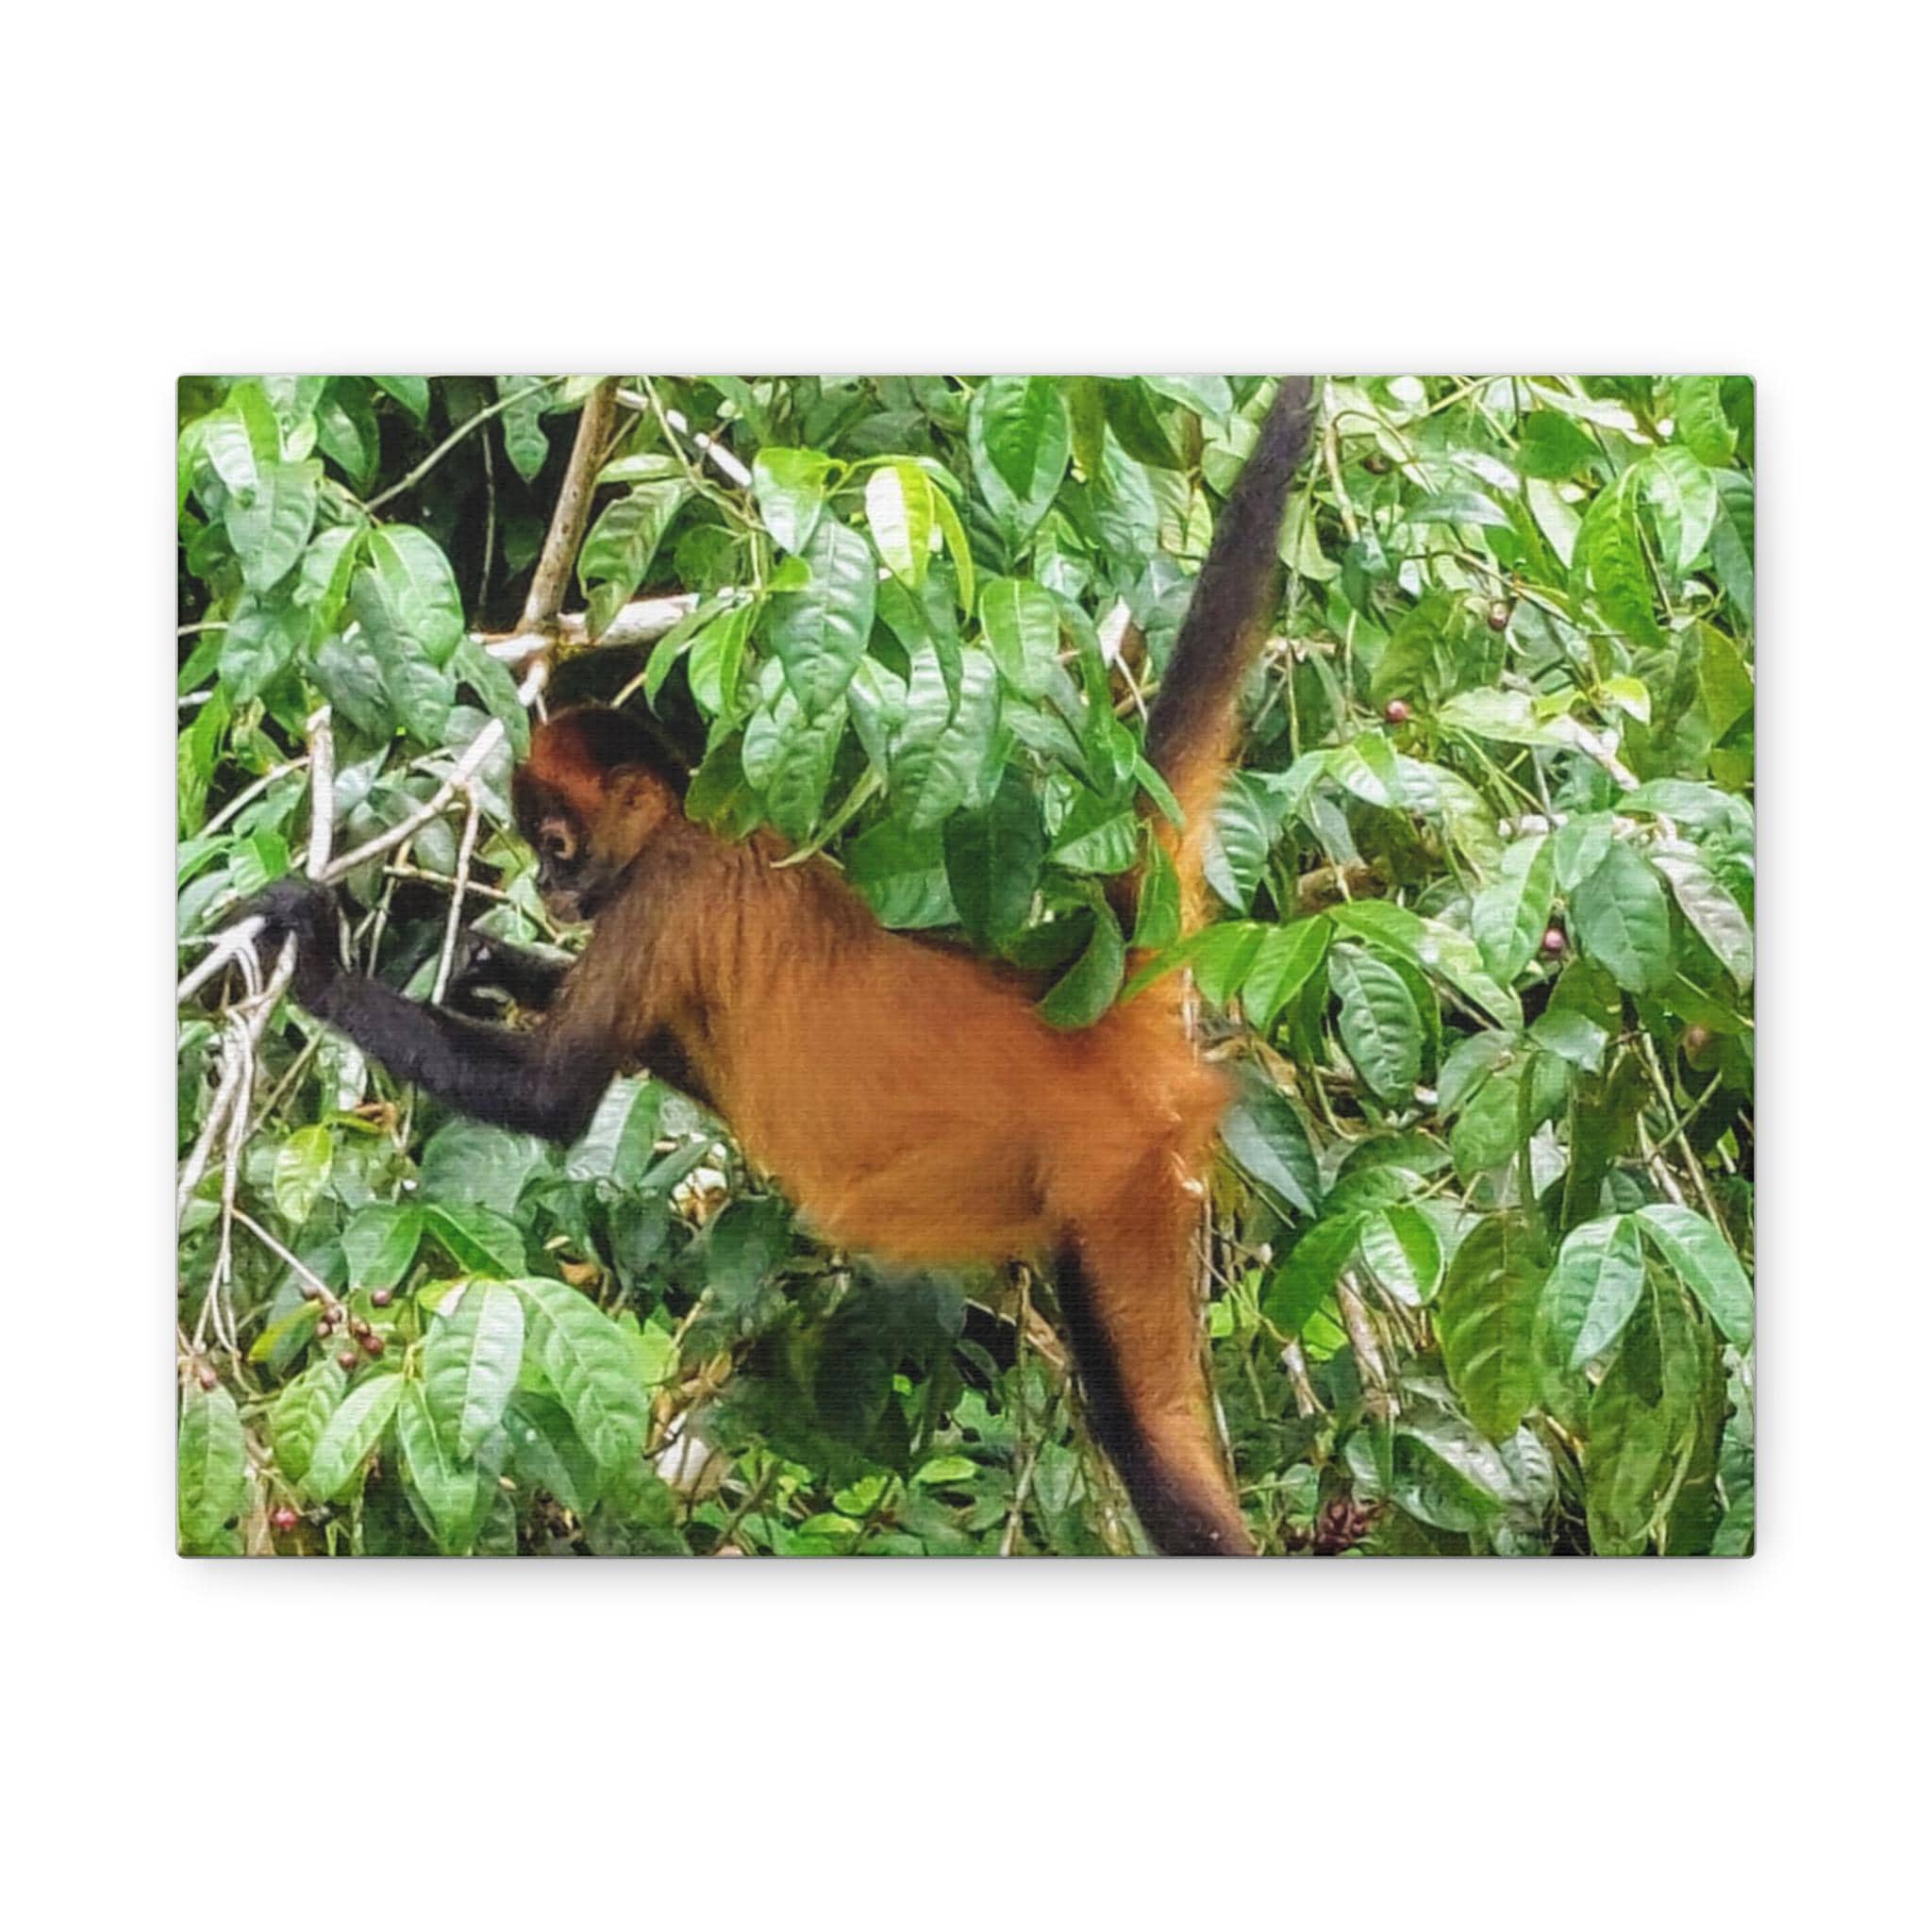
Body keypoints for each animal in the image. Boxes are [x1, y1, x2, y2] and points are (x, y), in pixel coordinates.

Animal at [254, 378, 1316, 1555]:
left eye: (558, 844)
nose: (548, 890)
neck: (694, 832)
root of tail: (1079, 1018)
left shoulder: (661, 895)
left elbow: (554, 1094)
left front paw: (316, 962)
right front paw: (497, 963)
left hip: (1115, 1176)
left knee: (1148, 1434)